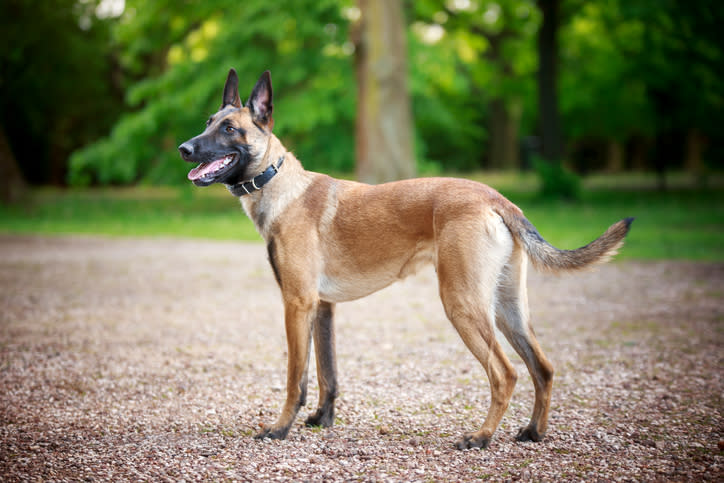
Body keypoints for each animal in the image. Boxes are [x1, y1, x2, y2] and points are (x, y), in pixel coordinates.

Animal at [178, 69, 632, 450]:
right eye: (207, 122)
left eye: (229, 129)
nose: (184, 148)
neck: (280, 185)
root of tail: (495, 197)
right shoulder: (322, 308)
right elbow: (327, 374)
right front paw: (322, 420)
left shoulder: (297, 303)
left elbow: (296, 378)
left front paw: (279, 428)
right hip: (507, 308)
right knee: (543, 367)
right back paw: (534, 432)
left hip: (462, 304)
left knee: (505, 373)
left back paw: (481, 437)